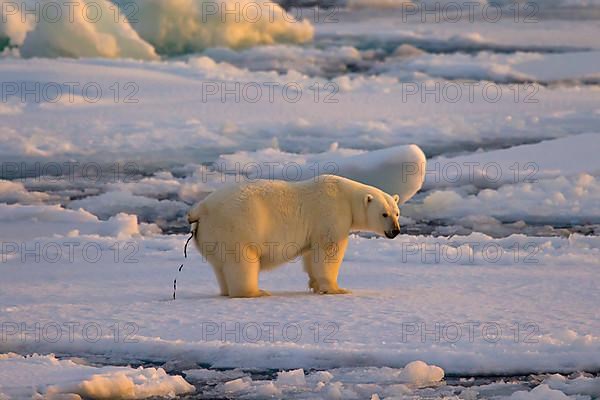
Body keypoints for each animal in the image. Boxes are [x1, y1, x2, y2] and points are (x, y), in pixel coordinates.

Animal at [188, 175, 400, 296]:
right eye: (384, 214)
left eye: (397, 213)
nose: (396, 231)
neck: (346, 196)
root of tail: (201, 209)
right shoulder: (331, 213)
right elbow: (328, 250)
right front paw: (336, 289)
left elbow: (312, 255)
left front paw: (315, 285)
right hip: (237, 228)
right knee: (242, 261)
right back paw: (256, 292)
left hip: (212, 235)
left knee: (220, 266)